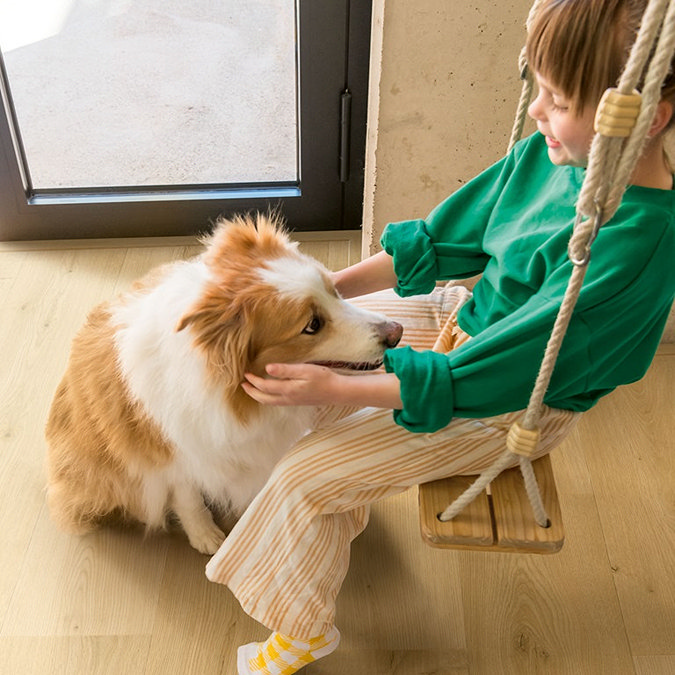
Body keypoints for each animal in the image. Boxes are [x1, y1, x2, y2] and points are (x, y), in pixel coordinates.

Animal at [47, 215, 404, 556]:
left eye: (334, 290)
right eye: (312, 325)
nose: (396, 332)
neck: (233, 394)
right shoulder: (175, 455)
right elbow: (188, 498)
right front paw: (205, 536)